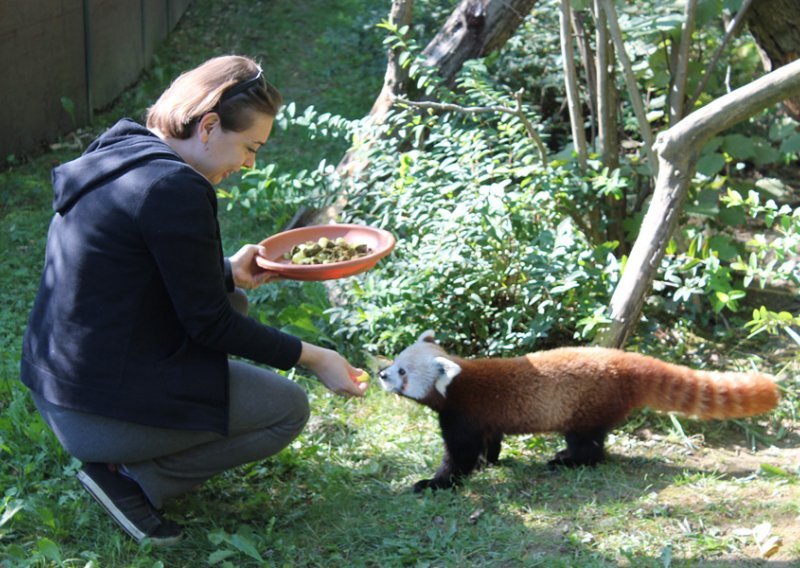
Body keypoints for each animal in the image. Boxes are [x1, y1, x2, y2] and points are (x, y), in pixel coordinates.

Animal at [378, 330, 780, 490]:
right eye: (396, 361)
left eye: (402, 372)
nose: (381, 374)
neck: (460, 381)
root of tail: (625, 361)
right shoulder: (484, 419)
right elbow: (489, 442)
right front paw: (487, 462)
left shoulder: (463, 414)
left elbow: (458, 457)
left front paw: (435, 483)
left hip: (586, 408)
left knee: (589, 445)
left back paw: (567, 460)